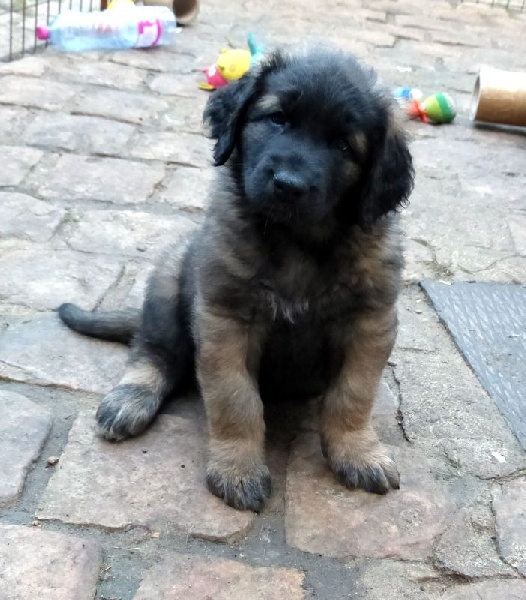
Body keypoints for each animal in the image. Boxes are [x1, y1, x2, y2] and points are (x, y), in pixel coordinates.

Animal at [58, 45, 414, 511]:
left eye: (343, 145)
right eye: (278, 118)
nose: (289, 185)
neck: (297, 242)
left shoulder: (370, 322)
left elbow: (352, 395)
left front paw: (357, 450)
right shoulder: (225, 320)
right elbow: (235, 400)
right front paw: (237, 469)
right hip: (170, 276)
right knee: (153, 353)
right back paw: (130, 399)